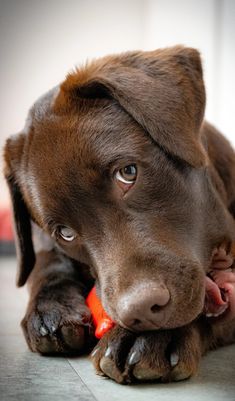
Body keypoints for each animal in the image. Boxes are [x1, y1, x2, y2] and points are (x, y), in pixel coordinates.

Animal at [3, 45, 235, 382]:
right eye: (65, 232)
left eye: (128, 172)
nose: (139, 311)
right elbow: (45, 263)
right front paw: (50, 307)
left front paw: (147, 338)